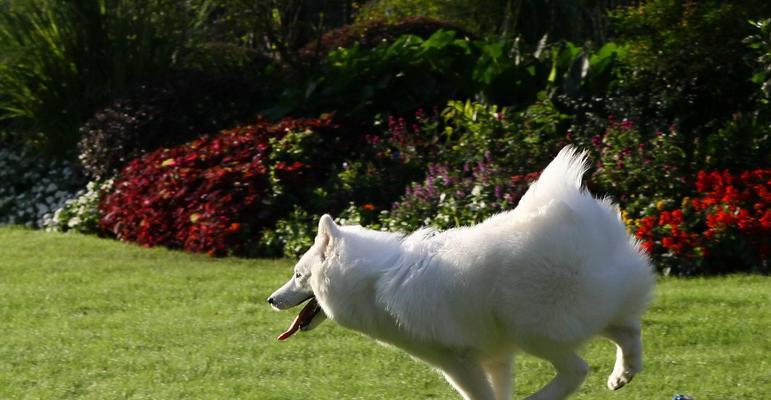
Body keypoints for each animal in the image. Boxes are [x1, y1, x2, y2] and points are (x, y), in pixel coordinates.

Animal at [268, 147, 656, 400]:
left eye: (299, 276)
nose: (270, 300)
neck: (371, 281)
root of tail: (574, 216)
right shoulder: (495, 356)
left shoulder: (456, 361)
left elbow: (482, 396)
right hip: (579, 314)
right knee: (628, 330)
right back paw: (622, 374)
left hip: (532, 327)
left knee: (578, 369)